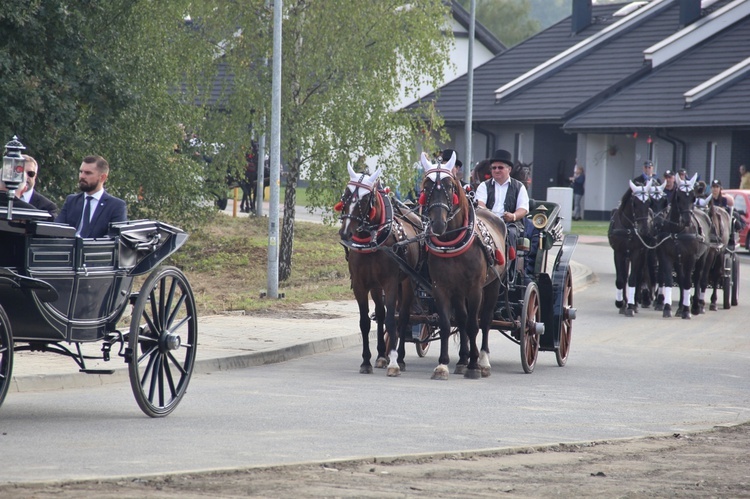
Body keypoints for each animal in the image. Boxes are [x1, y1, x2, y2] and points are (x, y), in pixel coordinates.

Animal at [336, 166, 424, 376]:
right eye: (346, 195)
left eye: (365, 199)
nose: (345, 232)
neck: (373, 240)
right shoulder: (360, 285)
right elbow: (365, 322)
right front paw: (367, 361)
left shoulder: (390, 283)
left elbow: (393, 320)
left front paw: (394, 363)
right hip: (376, 287)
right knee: (381, 314)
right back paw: (382, 356)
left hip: (406, 283)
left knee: (403, 317)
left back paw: (399, 358)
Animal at [420, 151, 508, 378]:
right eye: (425, 187)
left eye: (450, 186)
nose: (438, 224)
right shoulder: (441, 287)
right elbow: (447, 323)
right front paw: (443, 364)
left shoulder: (475, 288)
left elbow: (473, 325)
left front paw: (474, 365)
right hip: (459, 291)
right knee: (461, 318)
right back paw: (462, 359)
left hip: (493, 285)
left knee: (484, 320)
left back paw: (483, 360)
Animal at [608, 182, 656, 318]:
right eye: (635, 203)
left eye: (649, 202)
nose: (644, 230)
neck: (628, 228)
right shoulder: (618, 252)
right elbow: (621, 279)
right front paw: (620, 303)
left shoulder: (637, 252)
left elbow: (633, 279)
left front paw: (630, 306)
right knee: (624, 276)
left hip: (643, 254)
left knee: (639, 275)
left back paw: (634, 302)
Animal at [656, 174, 712, 318]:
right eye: (679, 197)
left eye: (693, 197)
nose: (687, 220)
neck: (678, 230)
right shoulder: (667, 256)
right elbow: (670, 280)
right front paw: (668, 308)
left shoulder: (691, 258)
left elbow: (688, 282)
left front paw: (687, 311)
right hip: (679, 261)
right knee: (681, 279)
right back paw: (680, 307)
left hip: (702, 257)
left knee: (697, 278)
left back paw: (696, 306)